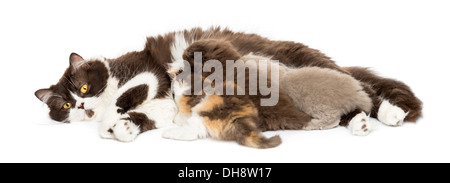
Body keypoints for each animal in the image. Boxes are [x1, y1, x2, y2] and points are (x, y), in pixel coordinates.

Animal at [34, 26, 422, 142]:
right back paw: (358, 123)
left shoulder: (148, 70)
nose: (82, 106)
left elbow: (134, 90)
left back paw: (389, 114)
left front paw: (113, 117)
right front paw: (123, 129)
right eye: (65, 105)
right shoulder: (164, 108)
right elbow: (147, 117)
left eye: (84, 89)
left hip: (301, 65)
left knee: (366, 90)